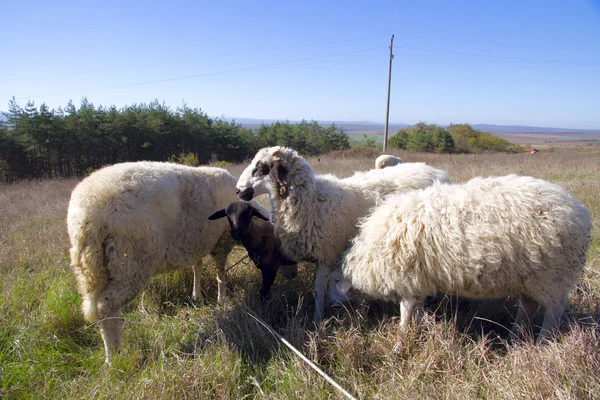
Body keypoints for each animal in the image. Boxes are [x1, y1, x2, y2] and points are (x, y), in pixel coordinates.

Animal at [67, 160, 239, 362]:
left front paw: (197, 295)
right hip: (129, 263)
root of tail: (86, 214)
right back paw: (114, 355)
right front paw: (222, 299)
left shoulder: (197, 243)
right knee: (107, 306)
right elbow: (220, 273)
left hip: (92, 267)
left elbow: (197, 266)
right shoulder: (222, 242)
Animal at [234, 146, 450, 318]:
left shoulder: (327, 254)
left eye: (261, 168)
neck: (312, 202)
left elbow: (318, 289)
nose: (238, 190)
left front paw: (317, 317)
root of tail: (439, 172)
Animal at [330, 174, 592, 340]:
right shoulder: (420, 280)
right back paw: (515, 335)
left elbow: (406, 310)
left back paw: (543, 340)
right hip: (530, 278)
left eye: (334, 281)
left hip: (553, 277)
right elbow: (416, 308)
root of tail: (580, 210)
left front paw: (401, 338)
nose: (331, 307)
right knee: (528, 306)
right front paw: (418, 329)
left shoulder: (408, 276)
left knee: (553, 312)